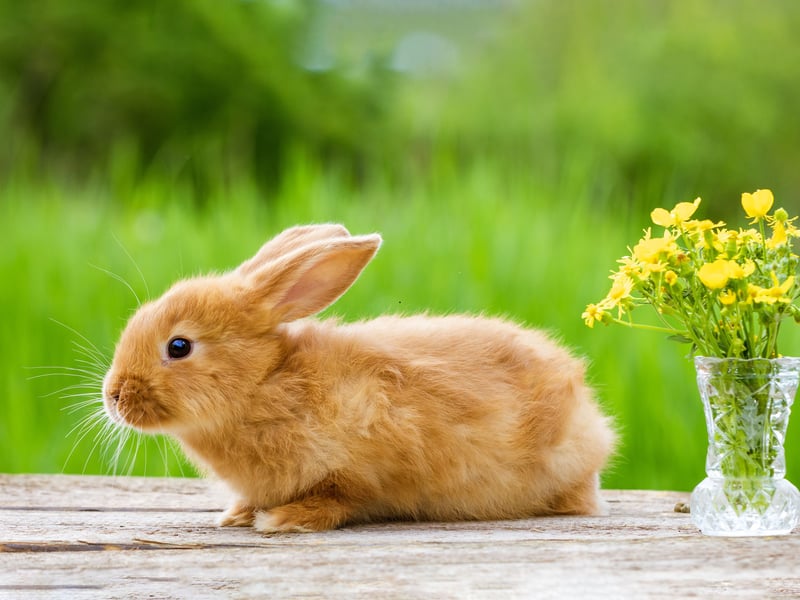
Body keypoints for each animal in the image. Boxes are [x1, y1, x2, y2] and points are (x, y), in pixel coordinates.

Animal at [102, 223, 615, 533]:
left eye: (179, 347)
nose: (114, 396)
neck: (262, 383)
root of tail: (592, 422)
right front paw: (237, 516)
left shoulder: (361, 463)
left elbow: (338, 499)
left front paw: (282, 520)